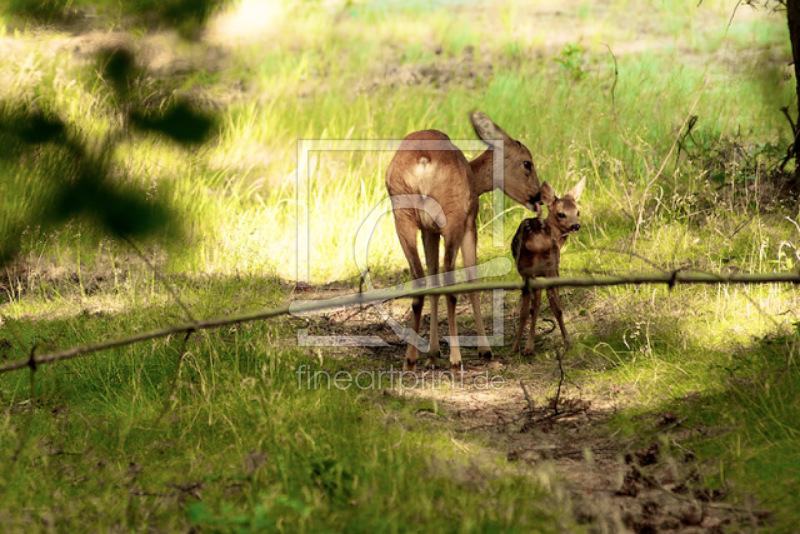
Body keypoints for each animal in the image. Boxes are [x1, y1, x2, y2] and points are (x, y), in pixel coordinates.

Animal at [384, 112, 540, 372]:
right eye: (527, 162)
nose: (538, 196)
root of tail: (423, 161)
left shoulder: (429, 230)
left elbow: (433, 278)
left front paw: (434, 353)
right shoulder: (469, 223)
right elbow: (471, 279)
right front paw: (484, 349)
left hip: (402, 216)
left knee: (420, 280)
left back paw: (411, 359)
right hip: (452, 219)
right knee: (451, 282)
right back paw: (456, 358)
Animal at [510, 178, 584, 358]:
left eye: (577, 211)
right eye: (561, 213)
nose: (575, 226)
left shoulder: (530, 274)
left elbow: (531, 308)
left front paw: (525, 346)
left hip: (535, 271)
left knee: (533, 308)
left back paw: (522, 347)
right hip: (548, 269)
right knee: (552, 306)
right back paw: (566, 342)